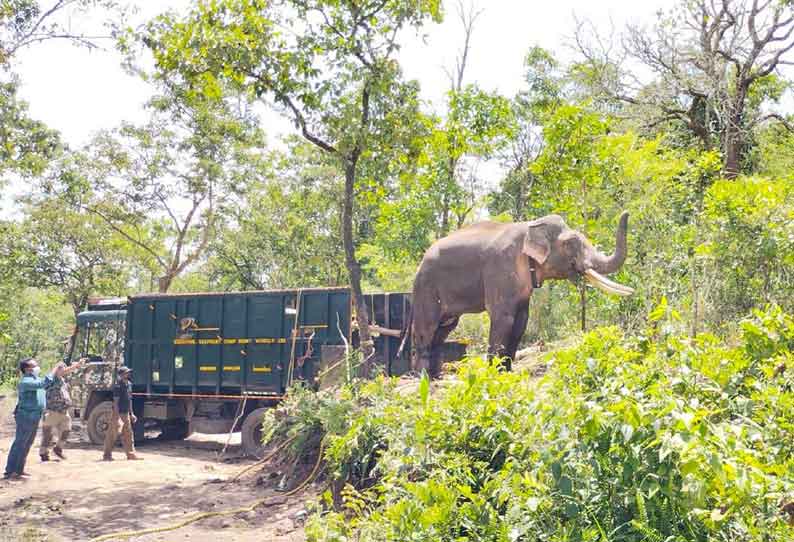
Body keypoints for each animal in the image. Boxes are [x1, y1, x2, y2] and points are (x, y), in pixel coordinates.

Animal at [402, 210, 632, 380]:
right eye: (570, 244)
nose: (626, 213)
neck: (530, 226)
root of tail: (420, 262)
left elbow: (522, 320)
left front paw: (507, 372)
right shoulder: (500, 269)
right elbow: (503, 318)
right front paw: (493, 375)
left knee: (444, 328)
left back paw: (435, 377)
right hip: (426, 287)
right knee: (427, 328)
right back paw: (422, 378)